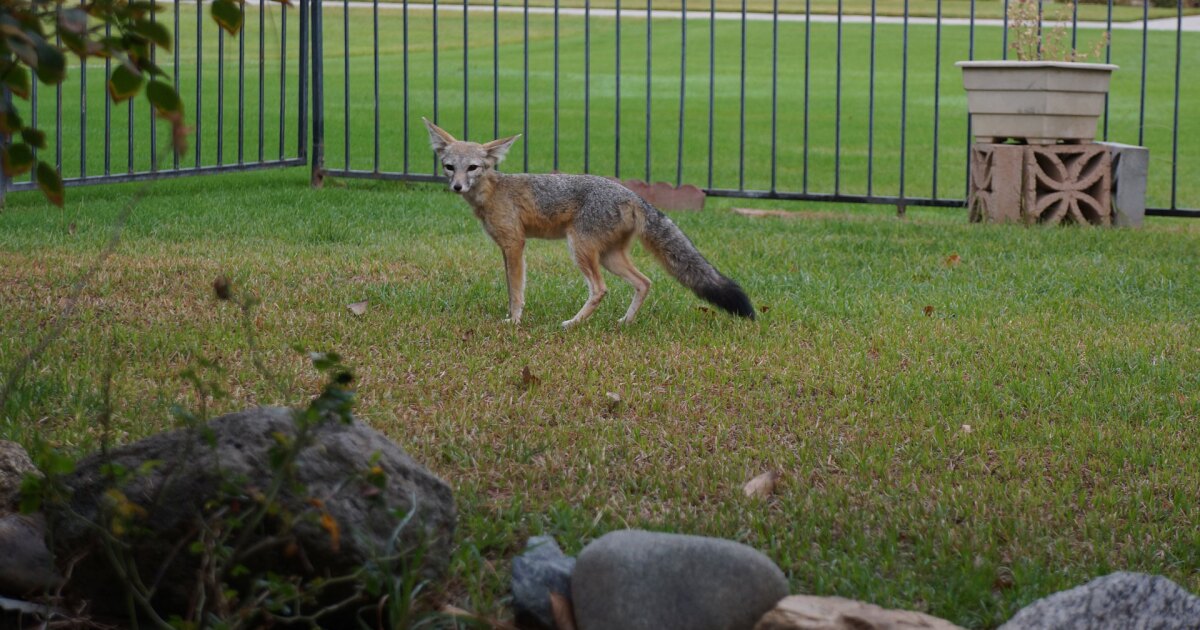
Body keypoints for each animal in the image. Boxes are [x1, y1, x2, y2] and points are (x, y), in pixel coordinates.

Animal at [423, 117, 755, 328]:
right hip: (609, 256)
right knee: (644, 282)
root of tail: (632, 195)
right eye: (450, 167)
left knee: (600, 289)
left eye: (473, 167)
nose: (457, 186)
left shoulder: (514, 245)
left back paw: (572, 323)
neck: (493, 191)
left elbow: (515, 291)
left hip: (580, 250)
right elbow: (511, 288)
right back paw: (625, 322)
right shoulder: (507, 247)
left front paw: (514, 321)